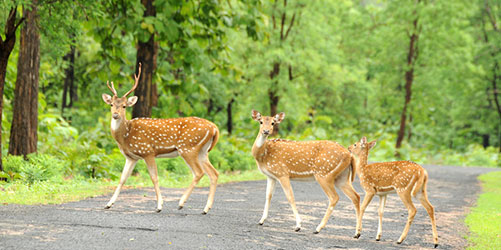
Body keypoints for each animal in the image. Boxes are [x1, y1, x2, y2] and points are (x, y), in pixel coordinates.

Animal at [100, 63, 219, 214]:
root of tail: (214, 128)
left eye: (124, 106)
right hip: (203, 151)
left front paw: (159, 206)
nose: (115, 114)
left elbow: (154, 178)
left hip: (188, 148)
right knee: (214, 173)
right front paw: (108, 204)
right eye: (111, 104)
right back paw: (205, 208)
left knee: (198, 173)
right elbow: (122, 179)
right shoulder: (131, 157)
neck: (126, 136)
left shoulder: (148, 152)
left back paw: (181, 203)